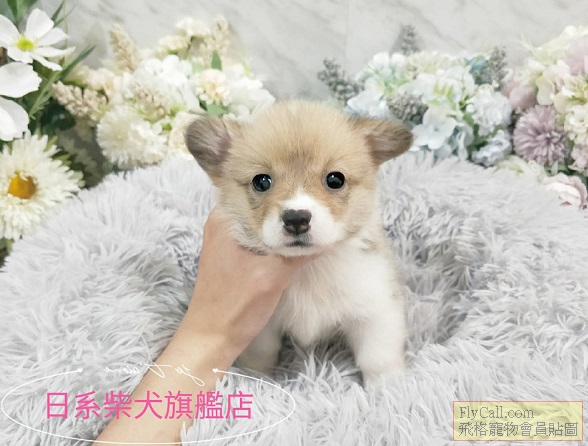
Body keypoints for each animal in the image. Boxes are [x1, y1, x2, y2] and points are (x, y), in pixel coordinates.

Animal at [185, 100, 413, 387]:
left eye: (335, 179)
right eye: (261, 181)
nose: (296, 218)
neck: (307, 271)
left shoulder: (376, 309)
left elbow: (378, 357)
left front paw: (388, 389)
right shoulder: (261, 326)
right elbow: (261, 356)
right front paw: (260, 381)